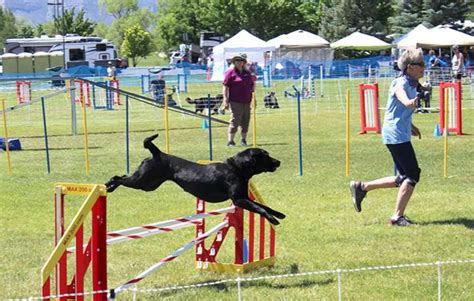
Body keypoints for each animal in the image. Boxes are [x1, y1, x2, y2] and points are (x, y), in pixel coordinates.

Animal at [105, 135, 286, 224]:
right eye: (265, 155)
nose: (278, 162)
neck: (236, 168)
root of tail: (157, 153)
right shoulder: (239, 200)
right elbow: (260, 208)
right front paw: (273, 220)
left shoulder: (245, 197)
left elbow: (264, 206)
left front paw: (278, 214)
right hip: (142, 181)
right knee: (118, 178)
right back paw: (108, 186)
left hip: (149, 184)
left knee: (122, 176)